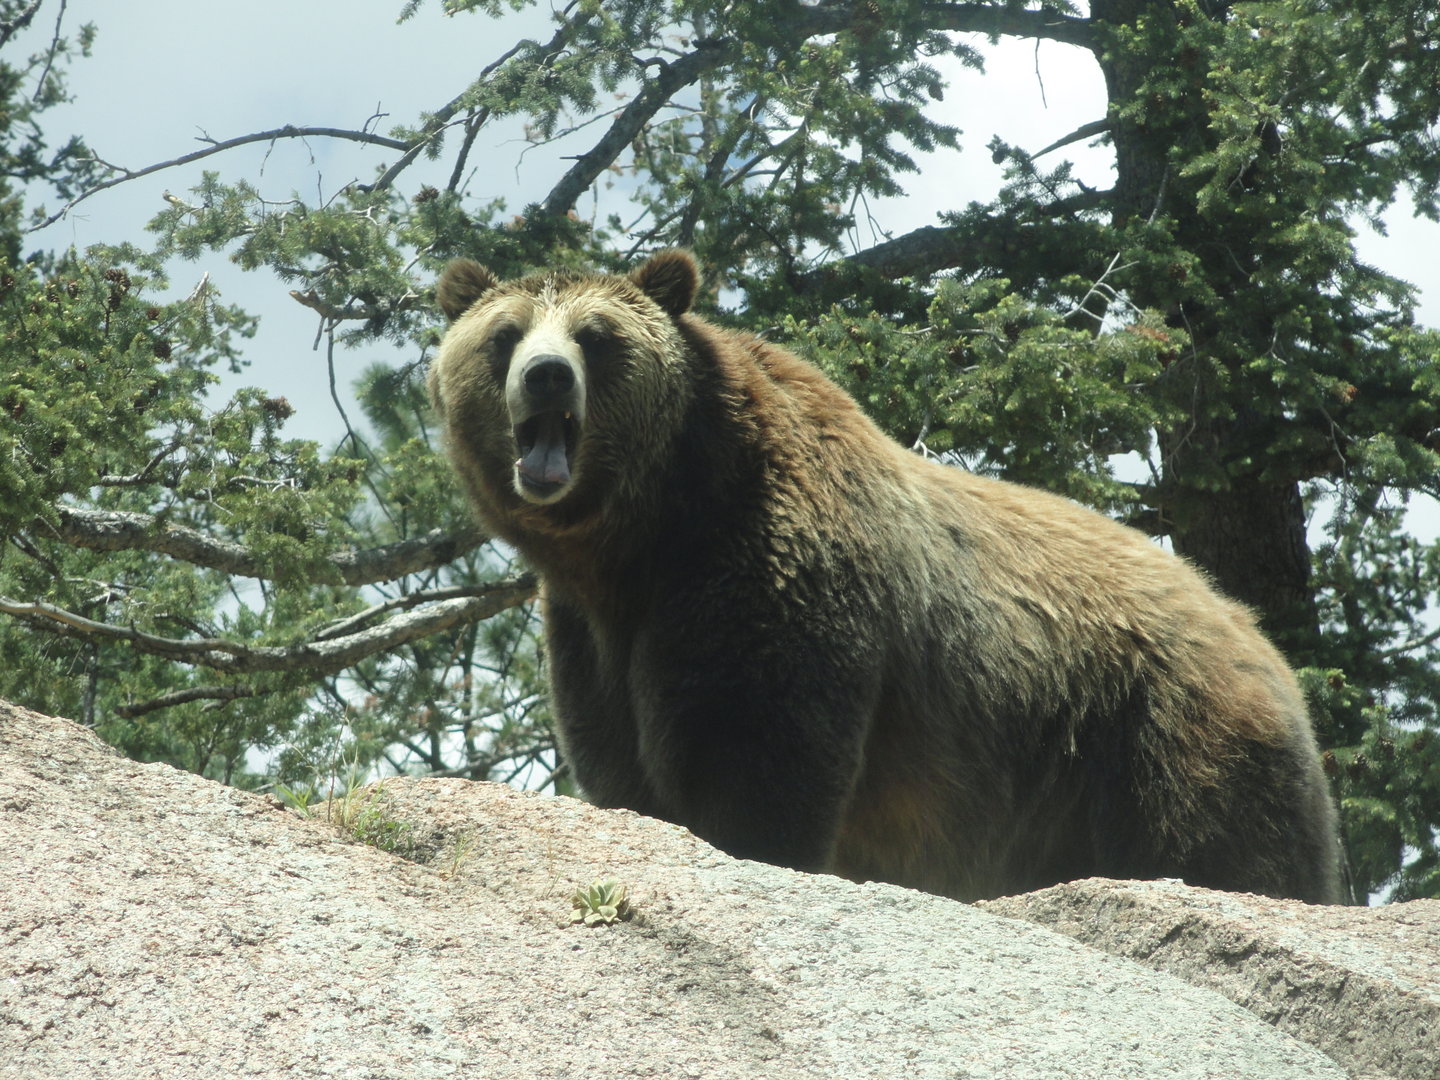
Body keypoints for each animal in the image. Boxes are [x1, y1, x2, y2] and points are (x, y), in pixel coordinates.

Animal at [427, 249, 1342, 905]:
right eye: (504, 334)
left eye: (595, 335)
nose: (546, 374)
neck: (642, 533)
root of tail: (1257, 636)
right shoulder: (594, 632)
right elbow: (625, 771)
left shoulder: (764, 568)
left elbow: (754, 756)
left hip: (1158, 735)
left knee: (1222, 848)